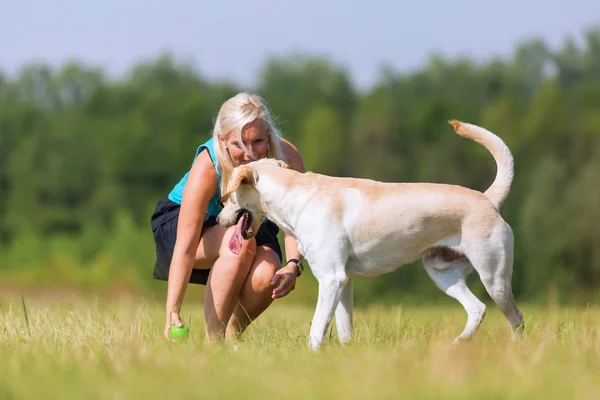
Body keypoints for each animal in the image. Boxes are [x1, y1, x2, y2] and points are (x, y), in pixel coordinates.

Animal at [218, 120, 524, 348]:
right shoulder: (345, 282)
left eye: (230, 196)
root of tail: (488, 199)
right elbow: (344, 330)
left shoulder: (331, 278)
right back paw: (457, 344)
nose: (219, 217)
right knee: (477, 309)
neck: (296, 197)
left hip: (494, 278)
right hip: (443, 274)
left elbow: (317, 328)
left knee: (516, 317)